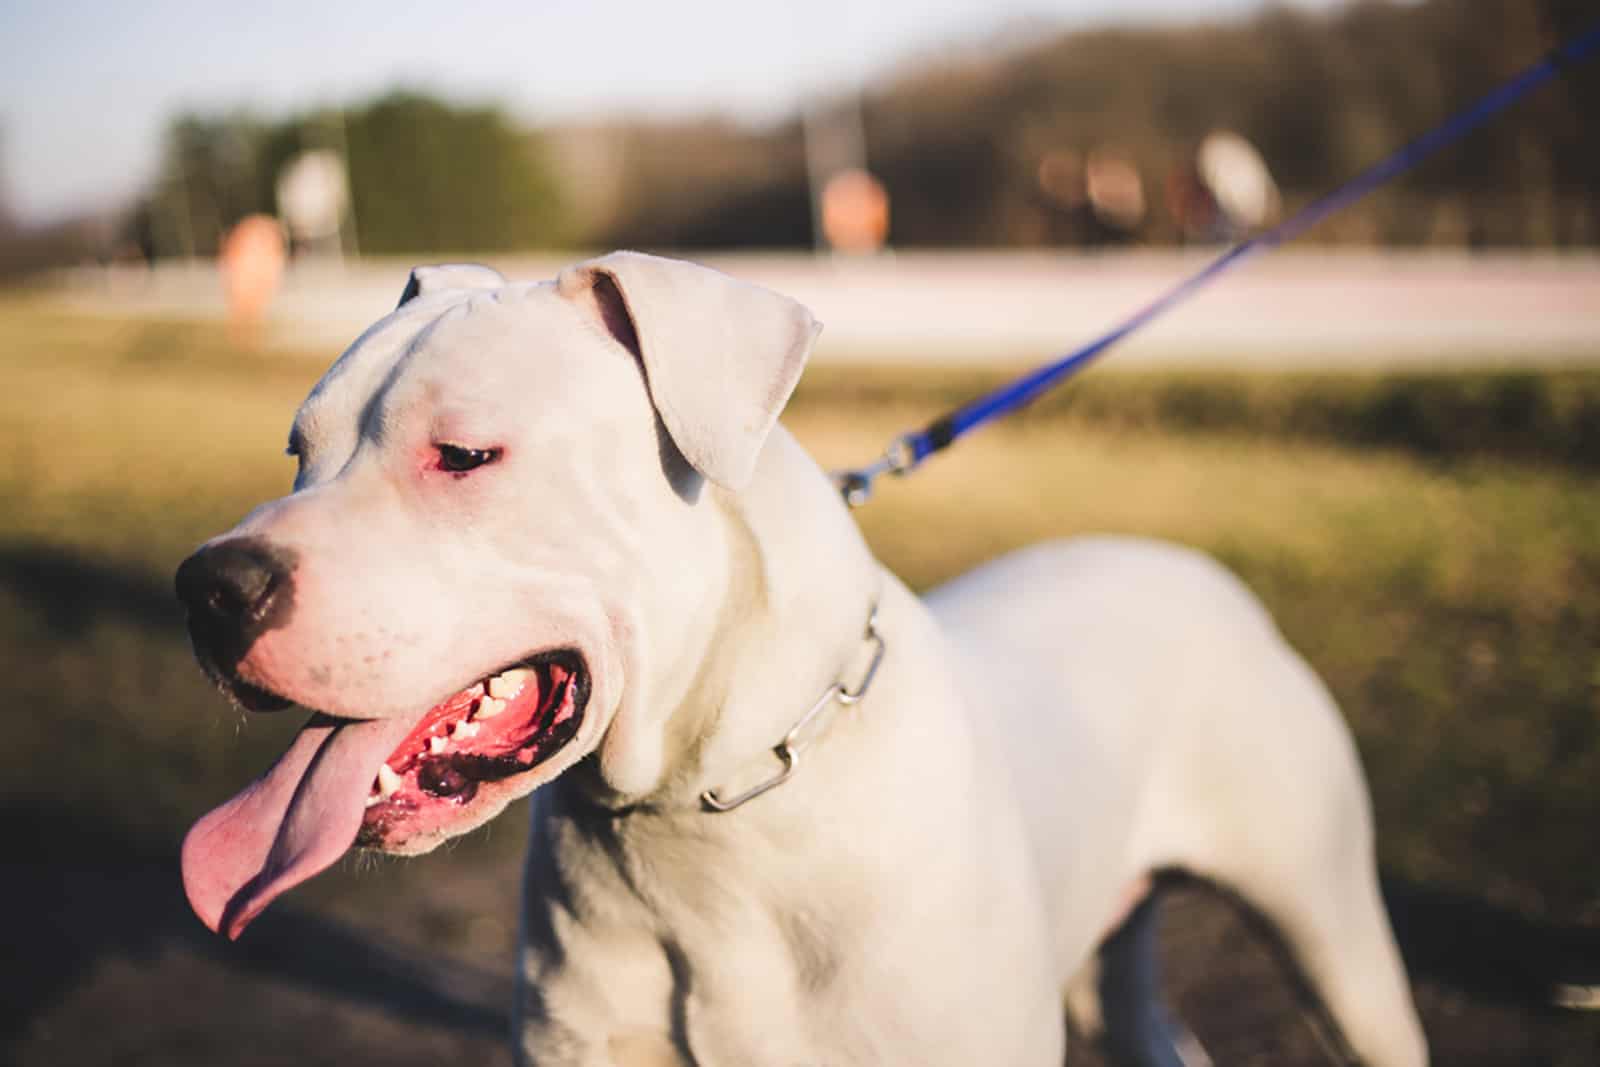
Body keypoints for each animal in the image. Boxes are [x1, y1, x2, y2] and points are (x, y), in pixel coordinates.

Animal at [175, 254, 1427, 1062]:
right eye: (298, 448)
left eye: (467, 453)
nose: (208, 589)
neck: (701, 814)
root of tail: (1199, 570)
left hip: (1336, 937)